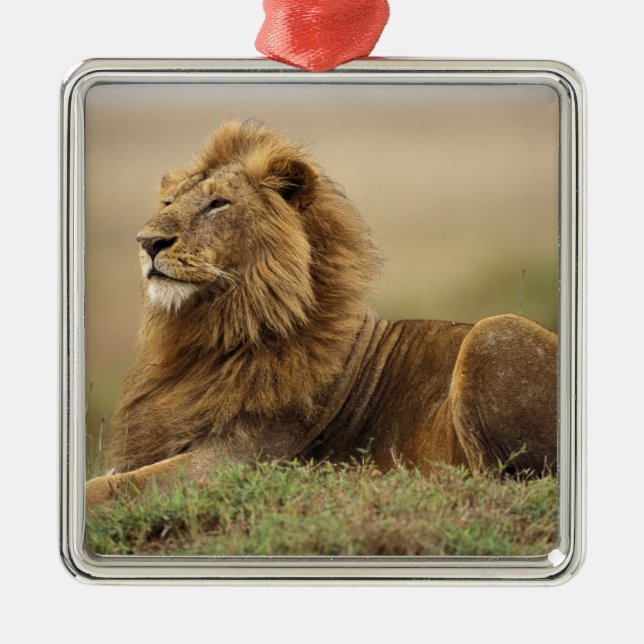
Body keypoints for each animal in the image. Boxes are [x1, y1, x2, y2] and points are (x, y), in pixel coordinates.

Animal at [86, 120, 557, 509]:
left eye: (217, 203)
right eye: (167, 201)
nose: (147, 241)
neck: (212, 334)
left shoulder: (238, 459)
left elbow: (111, 488)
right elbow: (108, 477)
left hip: (495, 332)